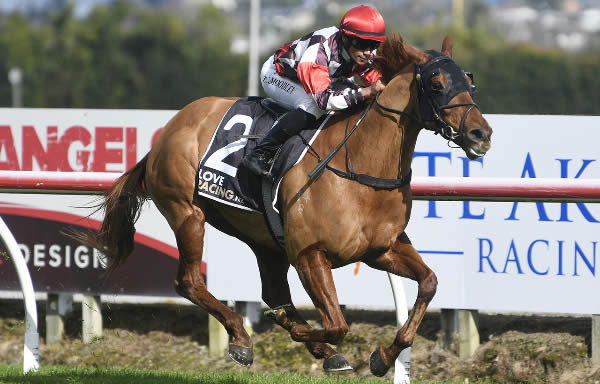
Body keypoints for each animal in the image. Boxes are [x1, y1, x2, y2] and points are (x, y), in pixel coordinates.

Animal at [77, 34, 492, 376]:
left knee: (273, 294)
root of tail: (170, 129)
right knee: (191, 281)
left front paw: (381, 357)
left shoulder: (380, 249)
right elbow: (337, 324)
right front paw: (317, 341)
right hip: (187, 213)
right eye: (436, 84)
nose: (481, 134)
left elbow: (428, 283)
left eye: (470, 83)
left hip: (263, 240)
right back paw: (242, 339)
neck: (360, 168)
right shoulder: (310, 254)